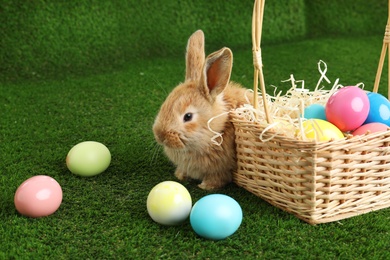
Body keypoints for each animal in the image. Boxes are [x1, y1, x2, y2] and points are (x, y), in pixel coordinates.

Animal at [152, 30, 253, 189]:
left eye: (188, 116)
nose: (160, 136)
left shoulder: (221, 170)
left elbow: (218, 178)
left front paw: (205, 186)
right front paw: (180, 175)